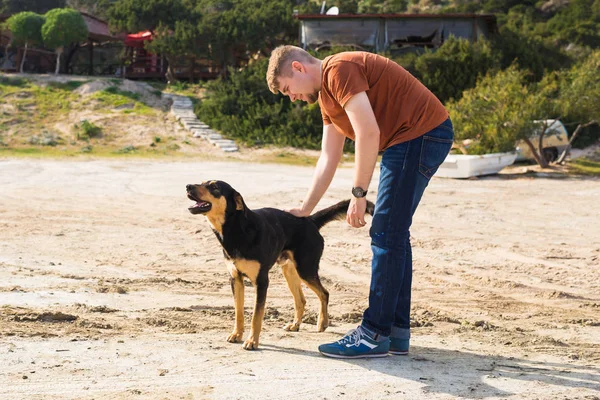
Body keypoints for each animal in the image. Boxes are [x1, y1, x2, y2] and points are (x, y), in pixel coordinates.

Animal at [188, 181, 376, 350]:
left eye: (214, 187)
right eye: (203, 182)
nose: (188, 186)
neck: (236, 228)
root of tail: (310, 220)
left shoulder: (262, 282)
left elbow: (256, 316)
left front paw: (252, 342)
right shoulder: (236, 279)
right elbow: (239, 312)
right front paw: (237, 334)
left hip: (305, 270)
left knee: (324, 293)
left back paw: (322, 323)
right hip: (290, 272)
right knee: (301, 299)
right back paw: (295, 325)